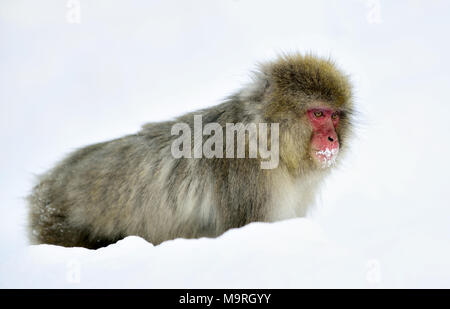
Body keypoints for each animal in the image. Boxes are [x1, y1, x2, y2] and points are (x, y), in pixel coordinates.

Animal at [28, 54, 356, 248]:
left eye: (335, 116)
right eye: (318, 114)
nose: (332, 139)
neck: (266, 137)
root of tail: (49, 181)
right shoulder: (248, 173)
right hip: (57, 222)